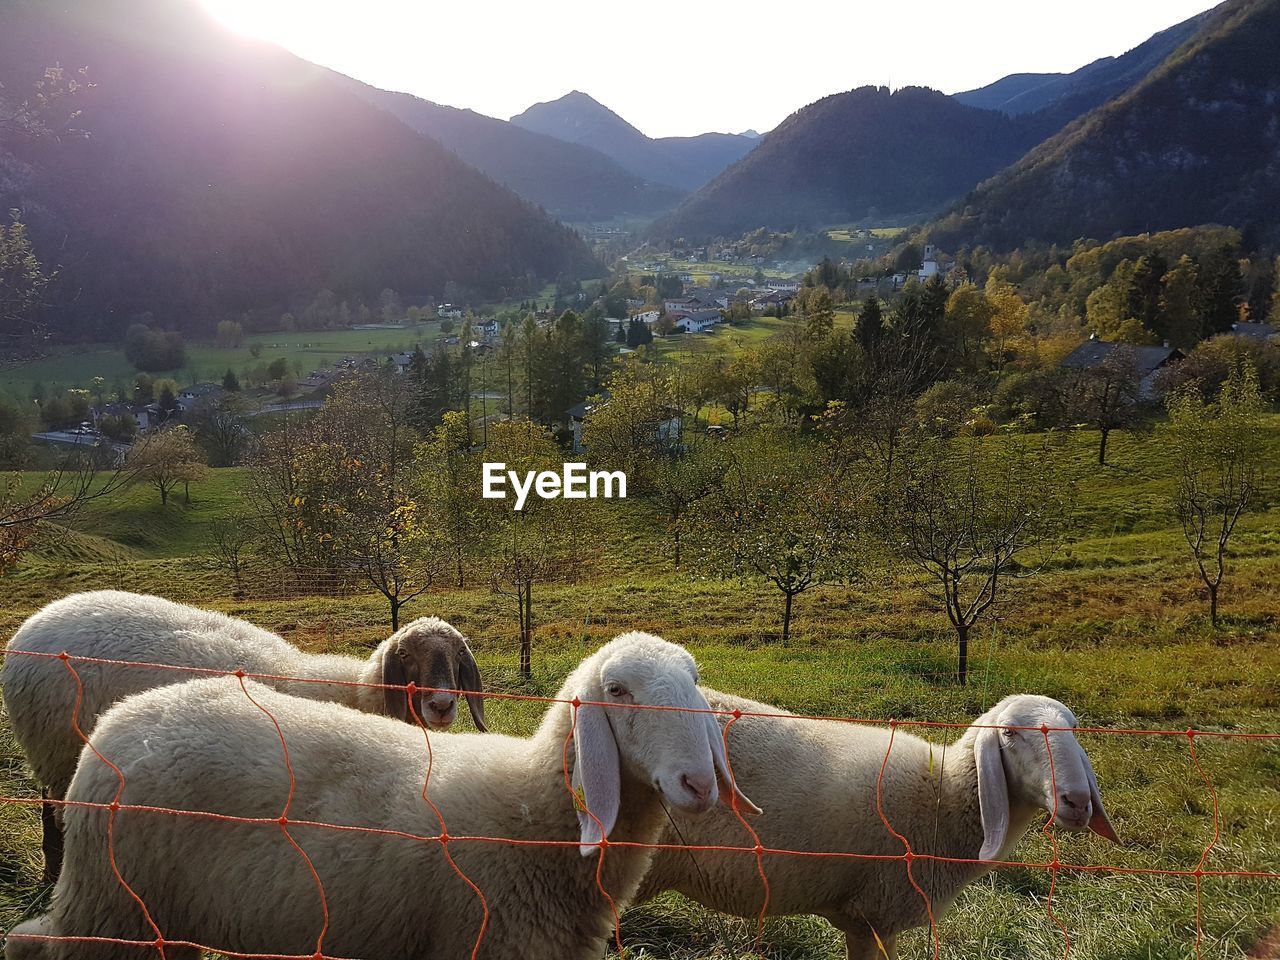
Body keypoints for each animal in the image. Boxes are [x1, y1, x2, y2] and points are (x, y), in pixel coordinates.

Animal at [1, 591, 488, 885]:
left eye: (457, 657)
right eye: (404, 656)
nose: (442, 705)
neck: (349, 692)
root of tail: (37, 621)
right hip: (57, 749)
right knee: (52, 810)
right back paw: (52, 872)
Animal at [2, 632, 757, 960]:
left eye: (695, 682)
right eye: (618, 691)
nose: (699, 784)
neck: (532, 816)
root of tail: (116, 725)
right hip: (117, 916)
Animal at [634, 696, 1116, 957]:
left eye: (1075, 729)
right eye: (1011, 734)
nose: (1077, 801)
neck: (943, 796)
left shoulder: (860, 918)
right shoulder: (876, 915)